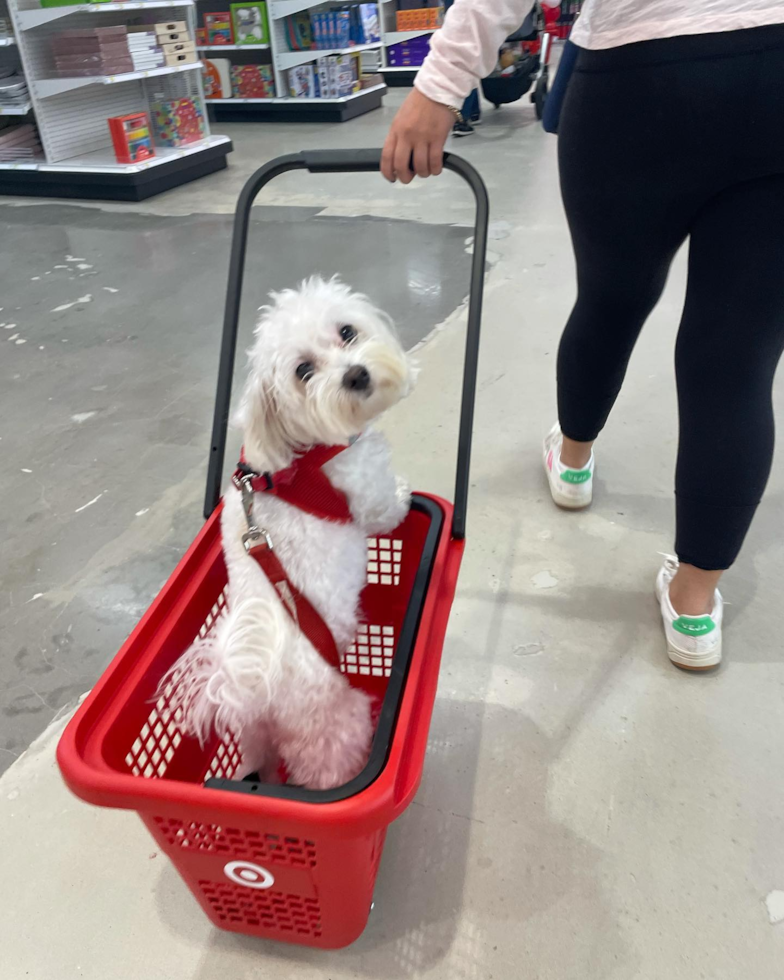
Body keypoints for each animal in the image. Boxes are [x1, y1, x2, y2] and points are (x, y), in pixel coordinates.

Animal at [162, 274, 414, 788]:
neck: (303, 455)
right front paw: (405, 495)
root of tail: (248, 684)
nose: (356, 375)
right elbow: (385, 509)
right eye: (303, 371)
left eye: (347, 332)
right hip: (332, 728)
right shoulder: (366, 488)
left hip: (254, 735)